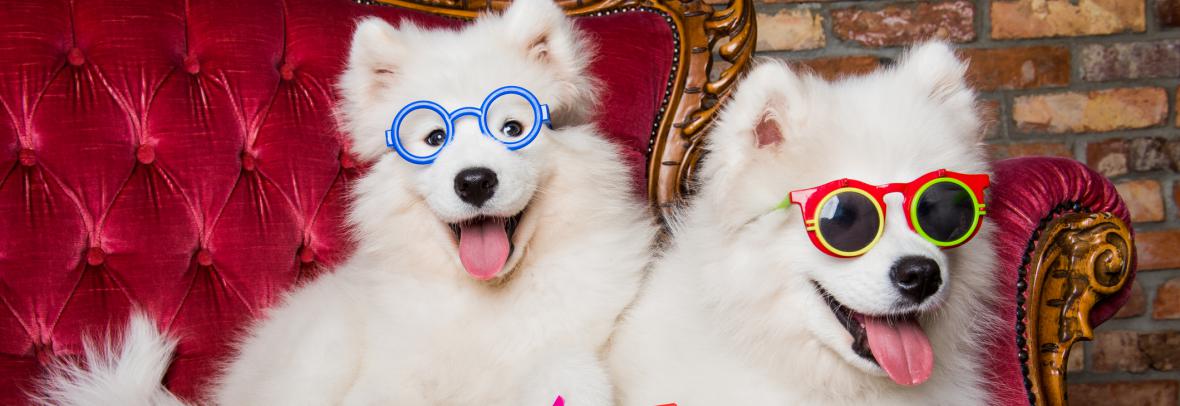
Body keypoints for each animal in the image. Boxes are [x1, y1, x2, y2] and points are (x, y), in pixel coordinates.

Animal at [36, 0, 660, 403]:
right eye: (433, 139)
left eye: (514, 128)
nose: (475, 182)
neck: (484, 299)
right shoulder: (393, 374)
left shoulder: (567, 348)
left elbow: (567, 373)